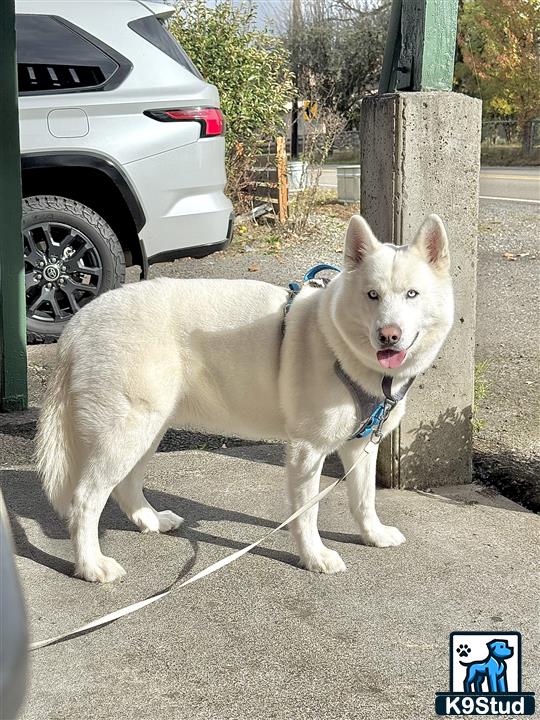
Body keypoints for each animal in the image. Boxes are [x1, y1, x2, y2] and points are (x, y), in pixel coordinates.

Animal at [35, 215, 454, 584]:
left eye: (412, 294)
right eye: (372, 295)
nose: (389, 336)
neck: (338, 344)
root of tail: (79, 322)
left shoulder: (360, 446)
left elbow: (363, 500)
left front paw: (373, 535)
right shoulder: (307, 451)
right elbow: (307, 513)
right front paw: (314, 557)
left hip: (148, 429)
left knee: (125, 485)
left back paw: (150, 521)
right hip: (126, 433)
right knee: (85, 500)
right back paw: (91, 566)